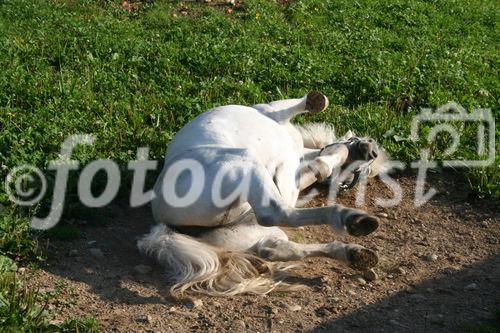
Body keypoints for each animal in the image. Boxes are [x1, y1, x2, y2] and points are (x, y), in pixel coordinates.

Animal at [139, 91, 388, 296]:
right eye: (359, 171)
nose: (371, 151)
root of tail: (164, 222)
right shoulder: (272, 110)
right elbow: (309, 108)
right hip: (244, 163)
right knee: (276, 214)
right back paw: (355, 224)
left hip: (244, 232)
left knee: (274, 244)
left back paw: (356, 249)